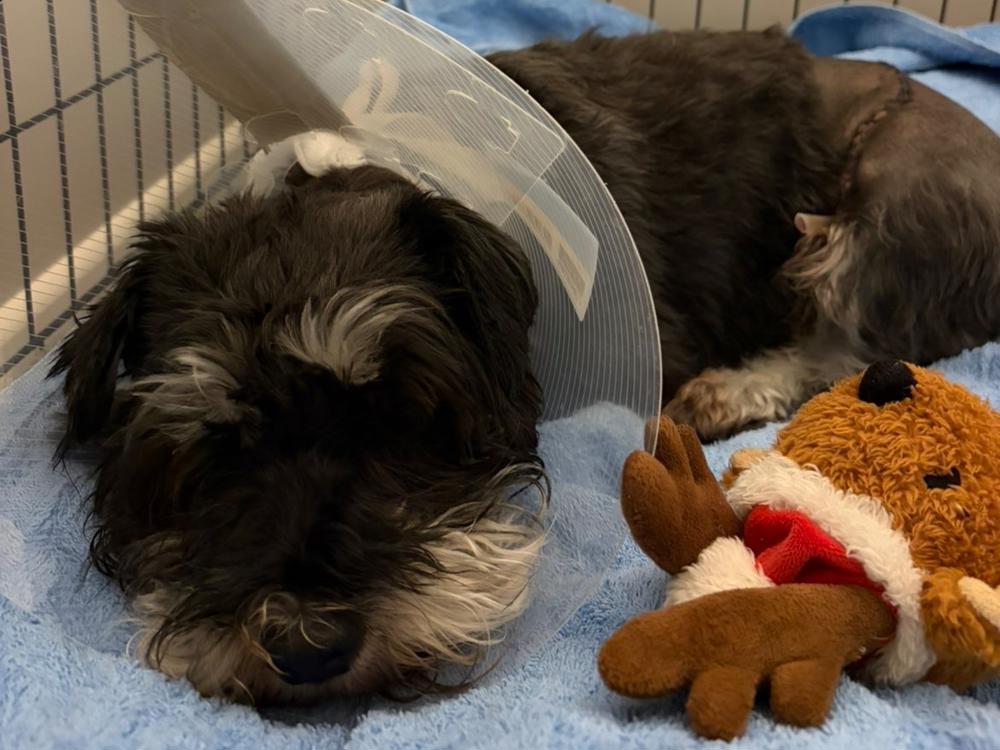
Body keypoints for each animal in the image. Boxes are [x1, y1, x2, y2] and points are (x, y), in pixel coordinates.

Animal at [52, 28, 1000, 702]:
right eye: (211, 449)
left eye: (403, 418)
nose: (307, 649)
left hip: (886, 209)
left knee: (861, 338)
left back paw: (731, 389)